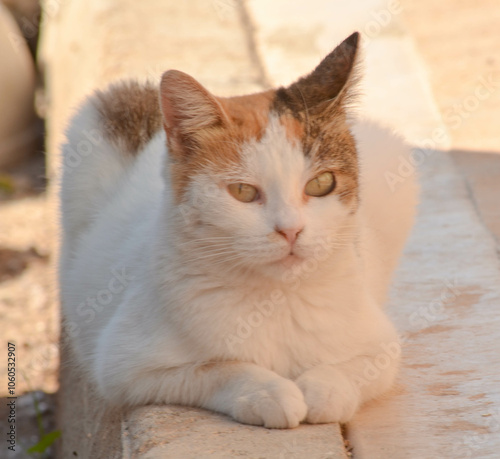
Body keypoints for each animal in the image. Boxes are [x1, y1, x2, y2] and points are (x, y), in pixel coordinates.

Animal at [58, 33, 418, 432]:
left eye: (322, 183)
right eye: (243, 191)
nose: (291, 230)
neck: (277, 299)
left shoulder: (382, 345)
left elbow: (356, 367)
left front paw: (325, 389)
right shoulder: (126, 367)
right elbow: (217, 368)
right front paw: (268, 392)